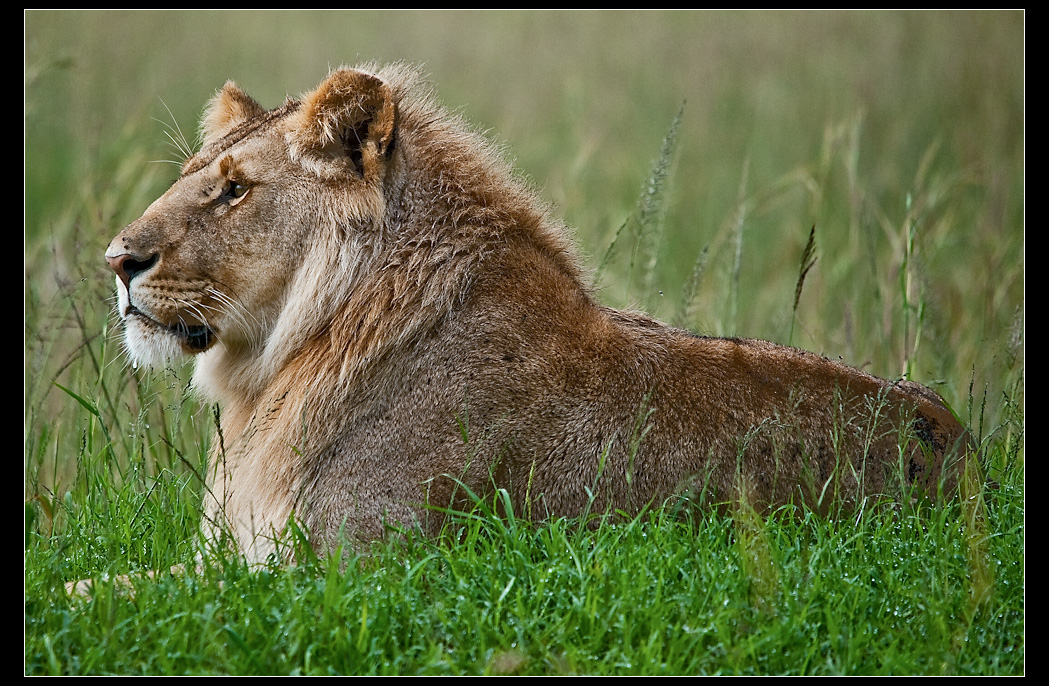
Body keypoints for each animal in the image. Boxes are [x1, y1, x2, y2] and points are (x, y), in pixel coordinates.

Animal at [104, 64, 972, 564]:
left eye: (234, 188)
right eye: (191, 175)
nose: (116, 260)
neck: (284, 362)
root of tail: (972, 459)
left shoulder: (348, 569)